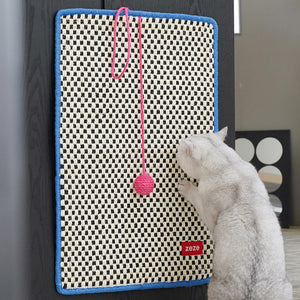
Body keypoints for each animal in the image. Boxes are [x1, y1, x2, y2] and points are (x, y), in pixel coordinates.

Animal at [177, 127, 292, 300]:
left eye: (178, 151)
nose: (176, 149)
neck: (228, 164)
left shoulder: (208, 210)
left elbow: (197, 198)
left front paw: (187, 187)